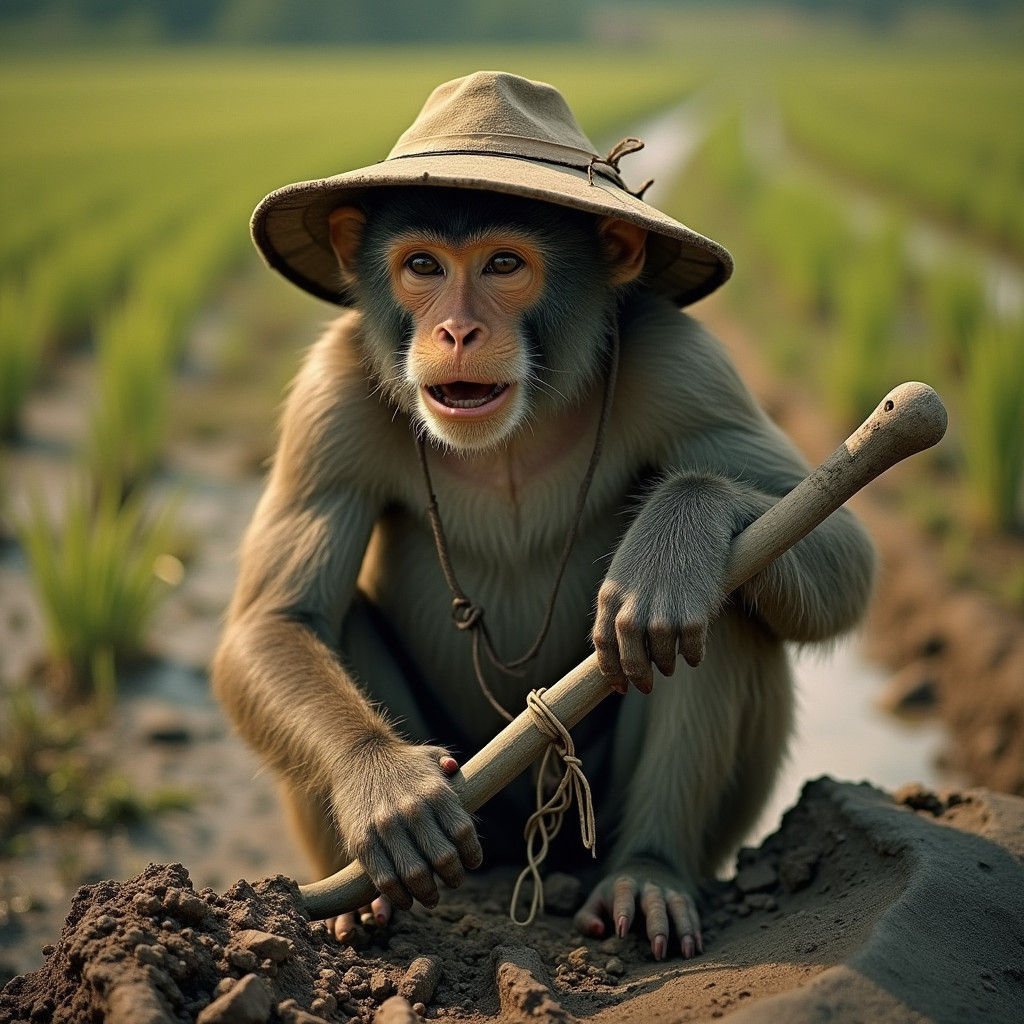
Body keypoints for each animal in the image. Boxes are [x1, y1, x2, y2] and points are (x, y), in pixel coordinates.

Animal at [212, 183, 876, 960]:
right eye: (422, 267)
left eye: (504, 264)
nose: (456, 332)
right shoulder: (331, 396)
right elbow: (275, 622)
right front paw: (382, 779)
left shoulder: (686, 365)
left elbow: (843, 543)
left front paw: (677, 536)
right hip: (484, 829)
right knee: (329, 617)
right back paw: (365, 907)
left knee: (722, 602)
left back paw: (649, 872)